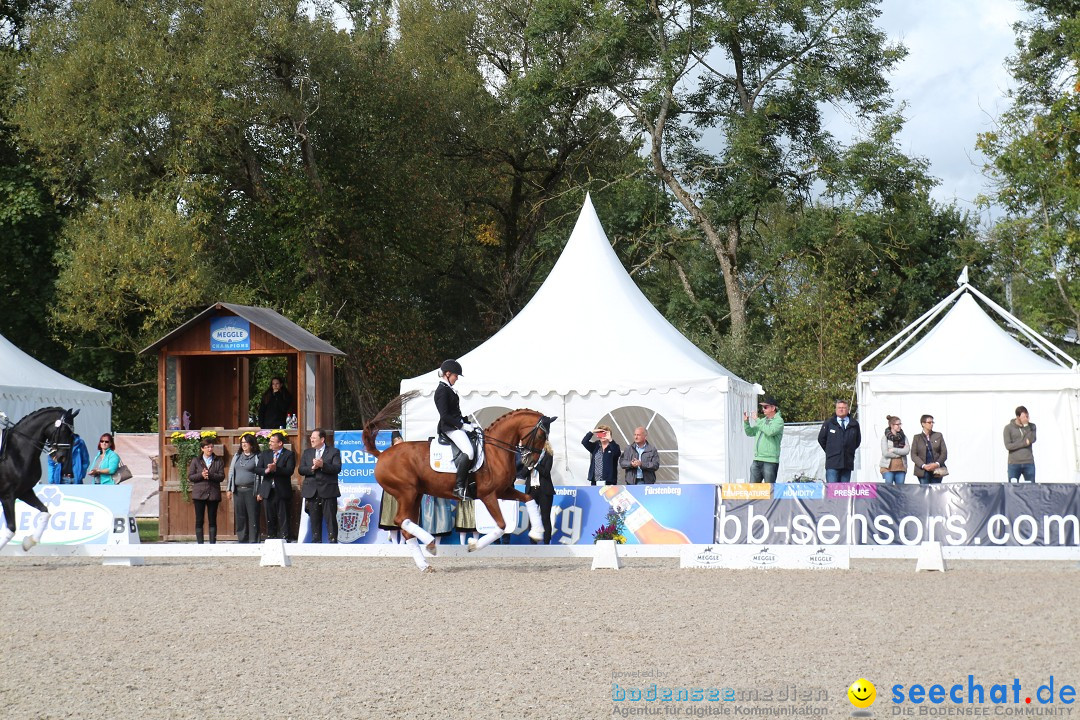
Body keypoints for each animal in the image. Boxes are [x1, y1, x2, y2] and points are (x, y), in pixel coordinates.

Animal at [0, 405, 78, 552]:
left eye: (73, 434)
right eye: (64, 430)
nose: (62, 458)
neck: (16, 453)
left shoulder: (25, 492)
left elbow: (45, 511)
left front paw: (29, 542)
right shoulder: (7, 495)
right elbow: (11, 529)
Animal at [365, 395, 557, 574]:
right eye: (541, 435)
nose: (531, 462)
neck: (495, 451)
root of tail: (382, 455)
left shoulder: (503, 491)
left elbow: (529, 498)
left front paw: (536, 532)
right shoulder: (488, 495)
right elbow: (502, 525)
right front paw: (474, 545)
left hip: (415, 494)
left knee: (406, 525)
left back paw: (425, 562)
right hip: (406, 492)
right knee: (400, 520)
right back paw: (430, 543)